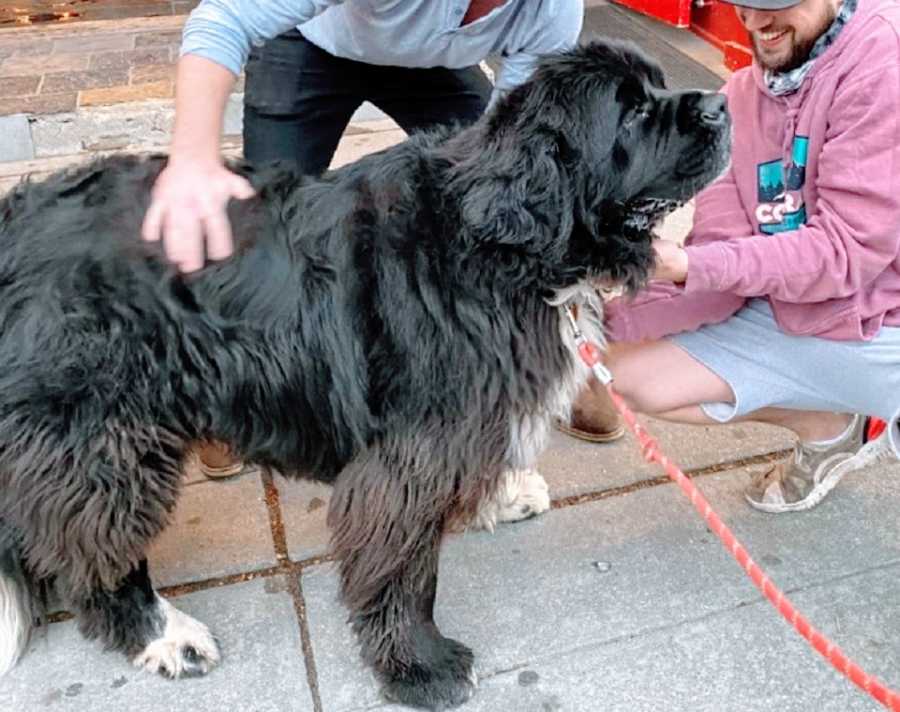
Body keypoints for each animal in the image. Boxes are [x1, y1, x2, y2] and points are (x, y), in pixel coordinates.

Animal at [0, 41, 728, 708]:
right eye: (631, 113)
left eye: (658, 86)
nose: (722, 104)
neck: (506, 247)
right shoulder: (408, 458)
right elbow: (406, 571)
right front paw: (420, 667)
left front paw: (502, 495)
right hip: (102, 436)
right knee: (93, 542)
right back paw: (164, 635)